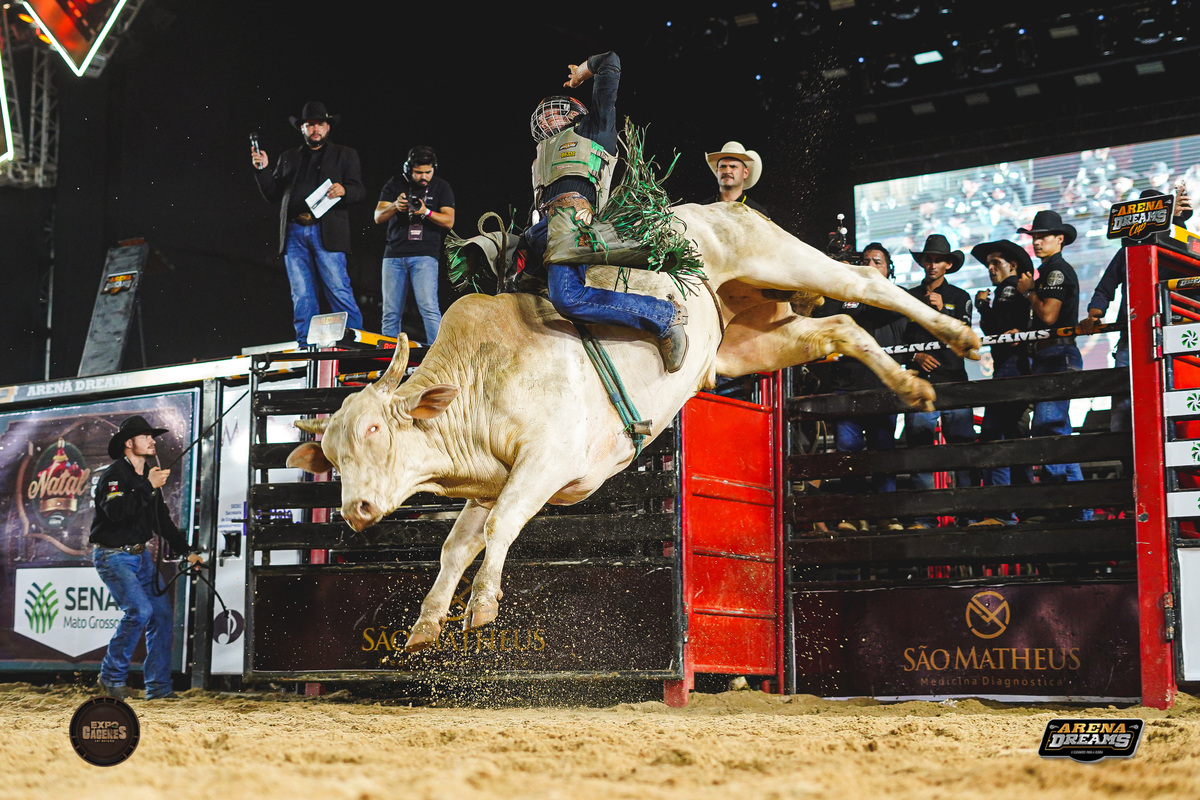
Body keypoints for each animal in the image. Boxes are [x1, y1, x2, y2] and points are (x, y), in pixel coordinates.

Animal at [286, 202, 980, 652]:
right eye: (334, 460)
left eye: (375, 432)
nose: (356, 510)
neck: (475, 384)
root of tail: (714, 205)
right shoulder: (492, 481)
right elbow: (458, 544)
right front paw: (427, 624)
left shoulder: (547, 462)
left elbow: (504, 524)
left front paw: (482, 607)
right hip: (746, 341)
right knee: (840, 327)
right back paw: (913, 386)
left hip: (777, 256)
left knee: (863, 282)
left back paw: (962, 337)